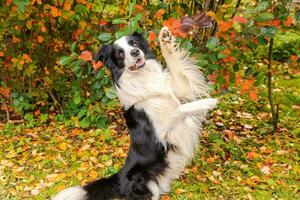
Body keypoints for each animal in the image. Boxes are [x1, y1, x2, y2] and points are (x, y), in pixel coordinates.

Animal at [54, 27, 217, 200]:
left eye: (134, 43)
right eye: (120, 53)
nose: (134, 52)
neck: (142, 77)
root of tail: (118, 177)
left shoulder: (180, 91)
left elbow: (175, 67)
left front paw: (165, 39)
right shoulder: (160, 133)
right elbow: (179, 109)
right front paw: (209, 102)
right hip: (144, 185)